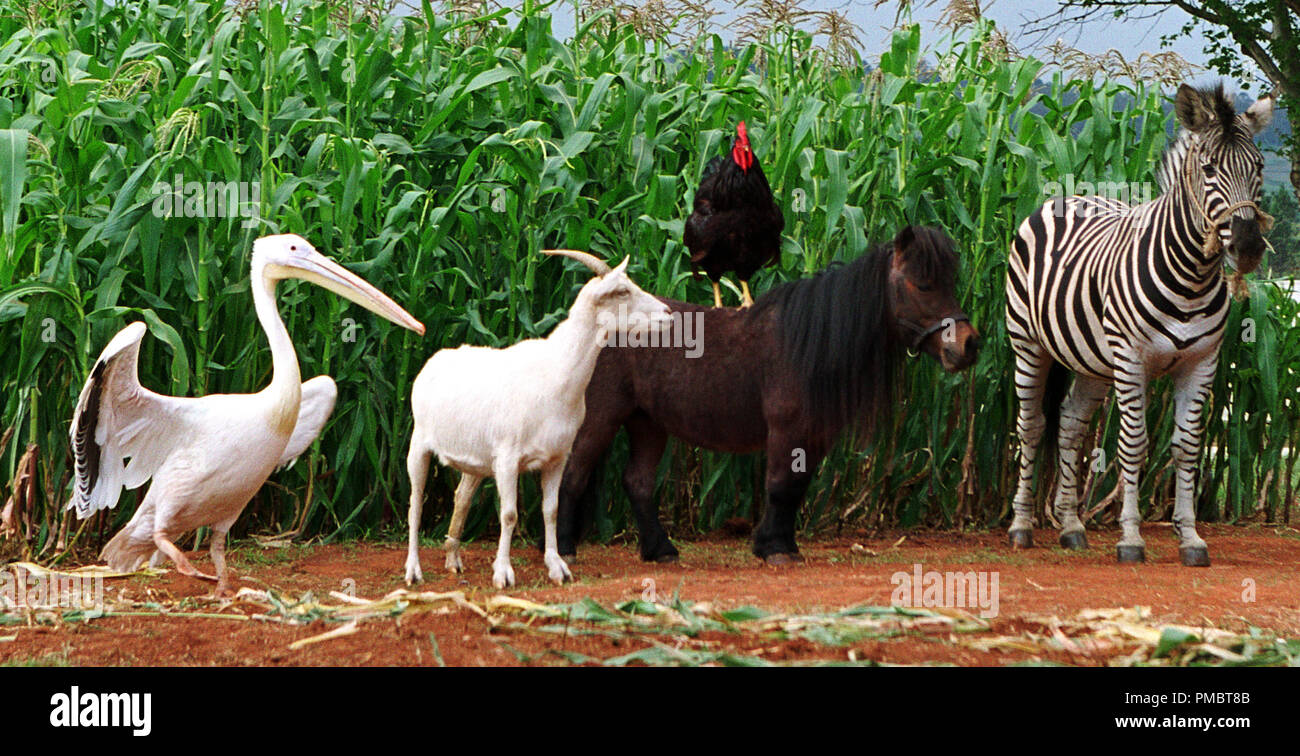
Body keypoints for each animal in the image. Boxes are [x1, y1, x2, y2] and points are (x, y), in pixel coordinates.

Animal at [405, 251, 670, 589]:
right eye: (622, 291)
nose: (668, 313)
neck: (555, 373)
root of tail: (434, 361)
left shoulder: (556, 458)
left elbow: (551, 510)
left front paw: (557, 568)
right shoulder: (507, 458)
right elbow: (508, 514)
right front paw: (503, 573)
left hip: (477, 459)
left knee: (461, 497)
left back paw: (453, 559)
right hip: (419, 445)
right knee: (415, 503)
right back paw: (413, 570)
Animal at [553, 222, 977, 566]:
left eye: (951, 283)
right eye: (923, 284)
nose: (969, 345)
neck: (808, 343)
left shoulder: (815, 435)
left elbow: (796, 486)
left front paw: (784, 545)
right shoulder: (787, 429)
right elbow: (779, 484)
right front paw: (774, 548)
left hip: (647, 423)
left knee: (637, 481)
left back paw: (661, 551)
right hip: (601, 416)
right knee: (573, 474)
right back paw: (565, 550)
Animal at [1008, 84, 1274, 568]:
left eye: (1258, 167)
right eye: (1209, 168)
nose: (1247, 247)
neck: (1191, 276)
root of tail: (1067, 196)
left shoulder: (1202, 363)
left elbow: (1186, 447)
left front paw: (1191, 538)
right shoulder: (1132, 360)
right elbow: (1134, 444)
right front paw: (1131, 537)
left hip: (1093, 361)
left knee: (1070, 424)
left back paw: (1071, 526)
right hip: (1028, 345)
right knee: (1031, 425)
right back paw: (1020, 525)